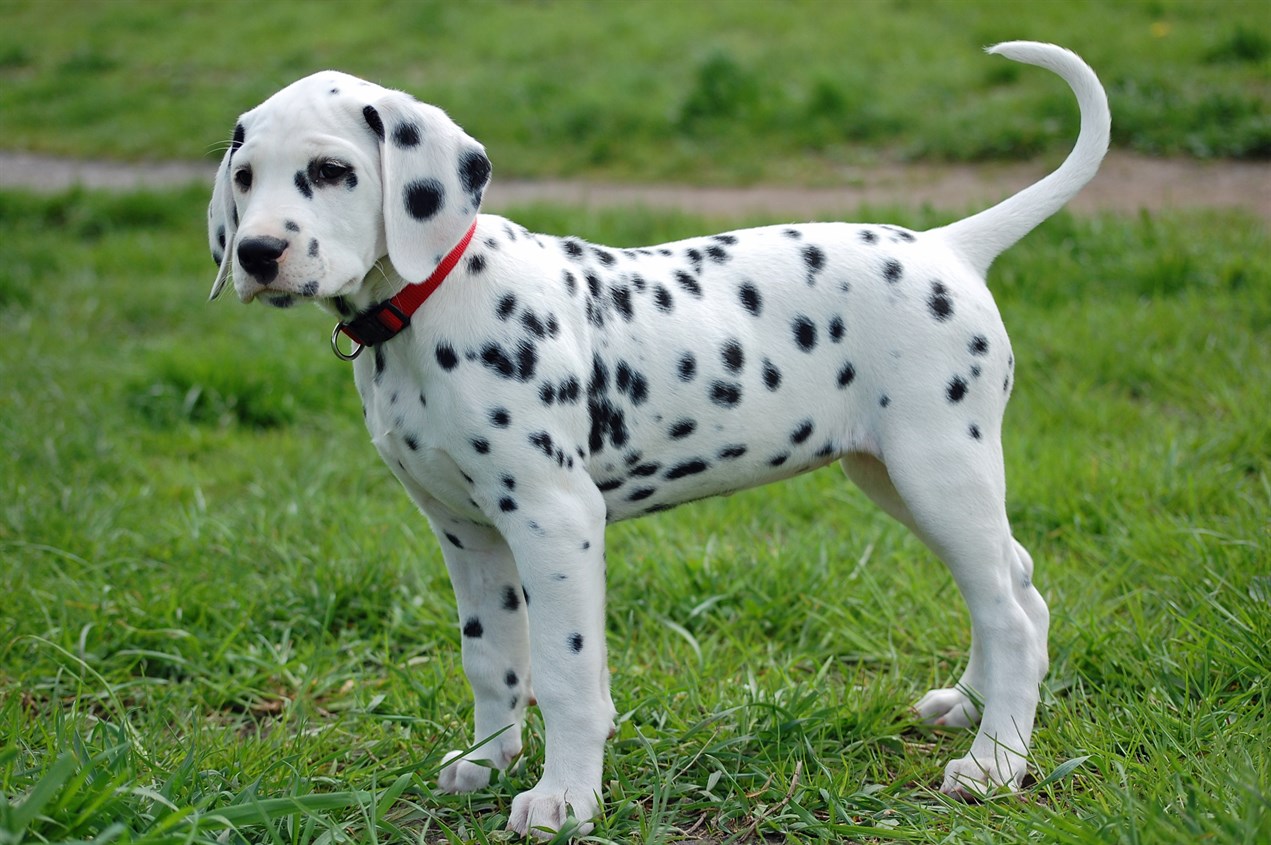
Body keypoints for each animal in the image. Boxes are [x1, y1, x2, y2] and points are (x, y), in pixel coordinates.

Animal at [205, 41, 1103, 838]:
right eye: (244, 178)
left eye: (332, 172)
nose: (257, 252)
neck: (428, 303)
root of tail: (948, 245)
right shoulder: (464, 531)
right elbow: (493, 658)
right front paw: (489, 761)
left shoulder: (555, 520)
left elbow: (565, 671)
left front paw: (562, 798)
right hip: (893, 473)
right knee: (1015, 583)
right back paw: (971, 707)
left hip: (936, 467)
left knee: (1007, 611)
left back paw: (993, 763)